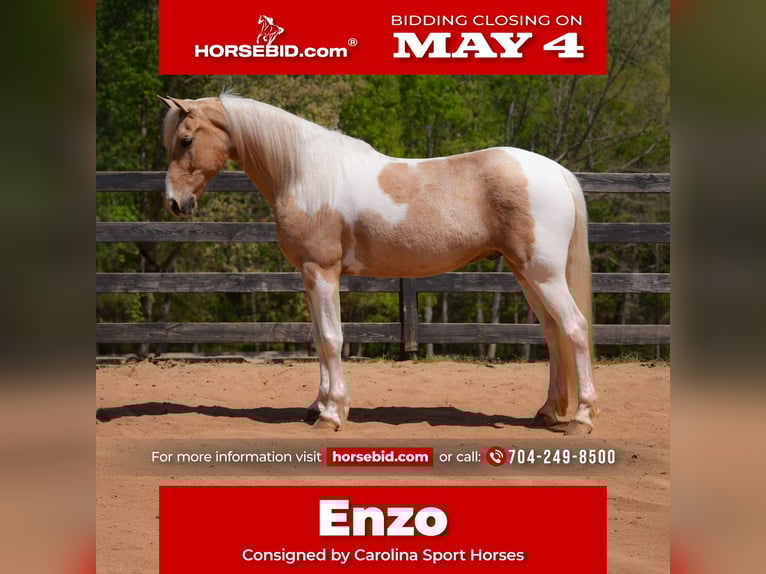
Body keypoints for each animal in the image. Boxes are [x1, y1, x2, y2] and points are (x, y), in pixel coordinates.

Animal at [157, 94, 599, 435]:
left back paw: (581, 418)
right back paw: (547, 412)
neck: (305, 174)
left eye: (185, 139)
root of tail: (556, 171)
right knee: (553, 332)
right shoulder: (309, 275)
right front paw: (318, 407)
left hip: (543, 274)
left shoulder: (323, 271)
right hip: (526, 274)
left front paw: (331, 415)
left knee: (575, 328)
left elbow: (331, 339)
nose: (175, 203)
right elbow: (318, 340)